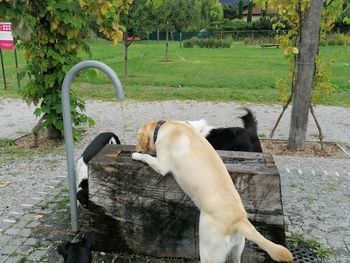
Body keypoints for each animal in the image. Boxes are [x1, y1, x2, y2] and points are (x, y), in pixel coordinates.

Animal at [131, 121, 292, 263]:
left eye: (137, 140)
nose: (136, 148)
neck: (165, 126)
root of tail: (239, 221)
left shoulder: (162, 165)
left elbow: (147, 157)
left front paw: (136, 155)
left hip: (208, 250)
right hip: (237, 250)